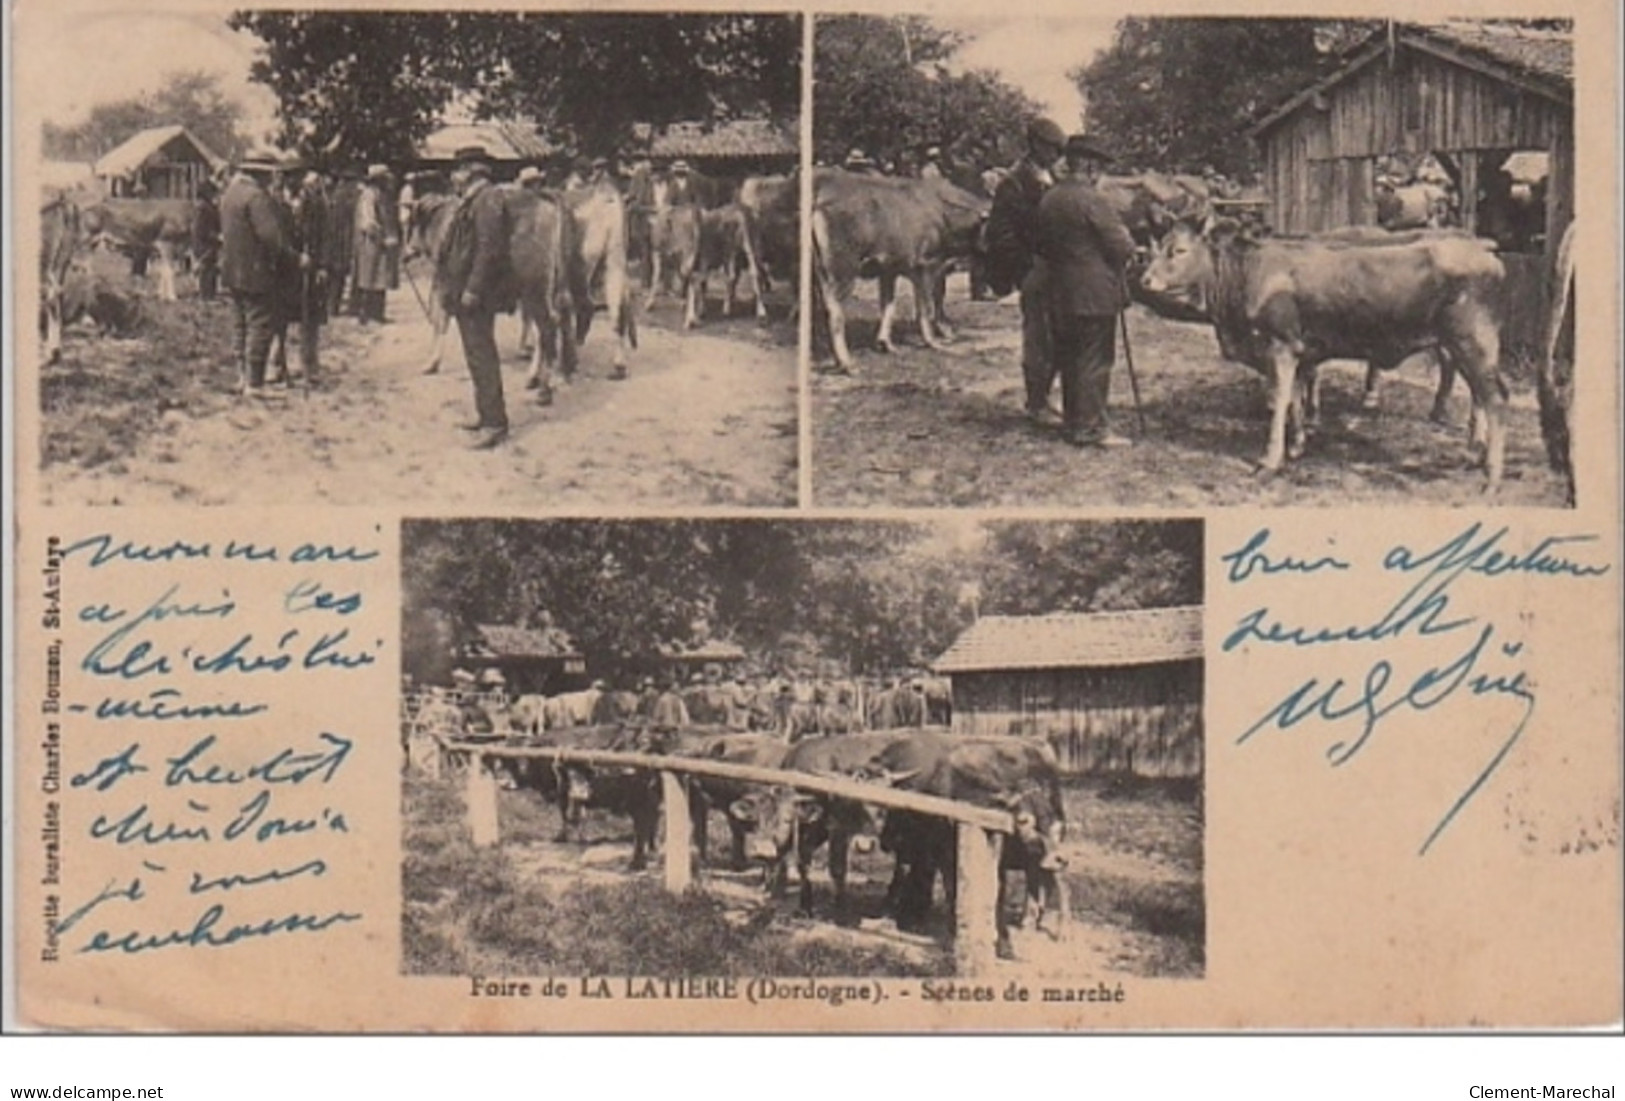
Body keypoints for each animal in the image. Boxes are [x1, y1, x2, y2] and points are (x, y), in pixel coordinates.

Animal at [1144, 219, 1508, 487]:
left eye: (1178, 250)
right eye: (1157, 247)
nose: (1145, 279)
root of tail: (1482, 249)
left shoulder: (1281, 346)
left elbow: (1279, 401)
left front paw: (1269, 461)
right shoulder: (1300, 351)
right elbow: (1294, 398)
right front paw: (1297, 445)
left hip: (1472, 340)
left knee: (1493, 396)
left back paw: (1491, 473)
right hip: (1462, 345)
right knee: (1480, 393)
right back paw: (1474, 455)